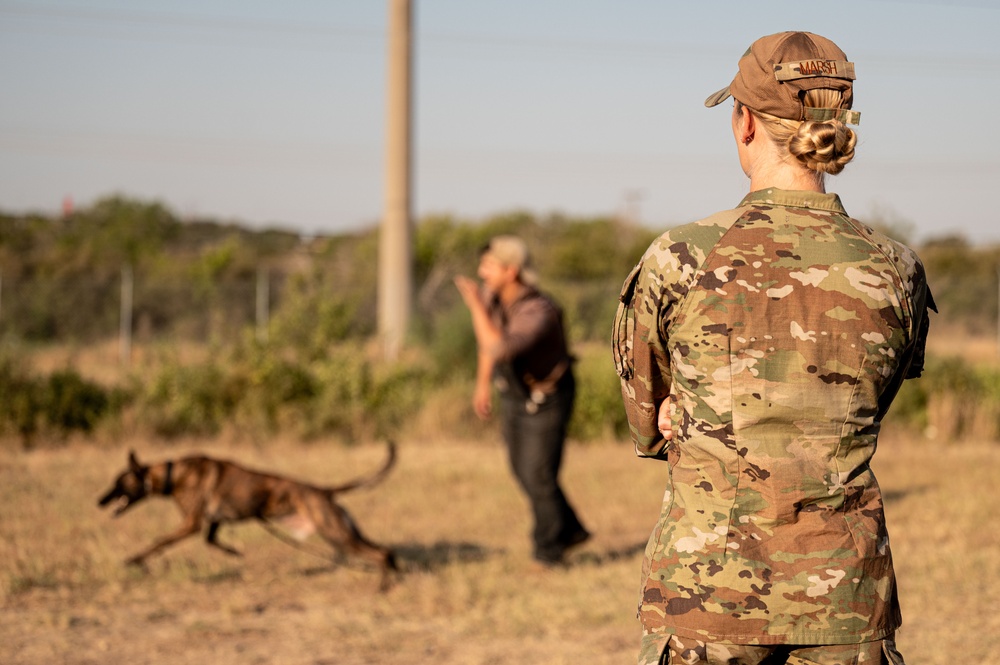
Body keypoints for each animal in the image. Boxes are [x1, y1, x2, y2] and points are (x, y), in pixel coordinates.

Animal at [96, 440, 398, 588]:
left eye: (118, 482)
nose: (99, 501)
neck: (173, 474)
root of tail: (323, 491)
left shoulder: (191, 523)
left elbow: (159, 542)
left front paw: (135, 559)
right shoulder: (213, 522)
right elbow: (211, 540)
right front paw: (234, 552)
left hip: (336, 533)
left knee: (380, 554)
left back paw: (384, 585)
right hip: (344, 531)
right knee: (386, 551)